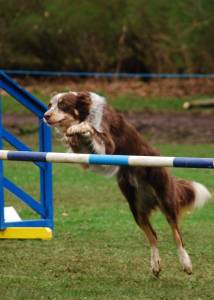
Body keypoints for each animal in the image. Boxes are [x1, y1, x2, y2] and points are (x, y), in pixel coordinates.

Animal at [44, 91, 211, 276]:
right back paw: (155, 264)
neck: (84, 112)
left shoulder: (108, 144)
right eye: (50, 105)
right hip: (135, 207)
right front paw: (72, 134)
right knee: (153, 235)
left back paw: (185, 263)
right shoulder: (85, 157)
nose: (46, 115)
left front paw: (79, 128)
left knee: (176, 234)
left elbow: (91, 130)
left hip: (165, 199)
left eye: (63, 104)